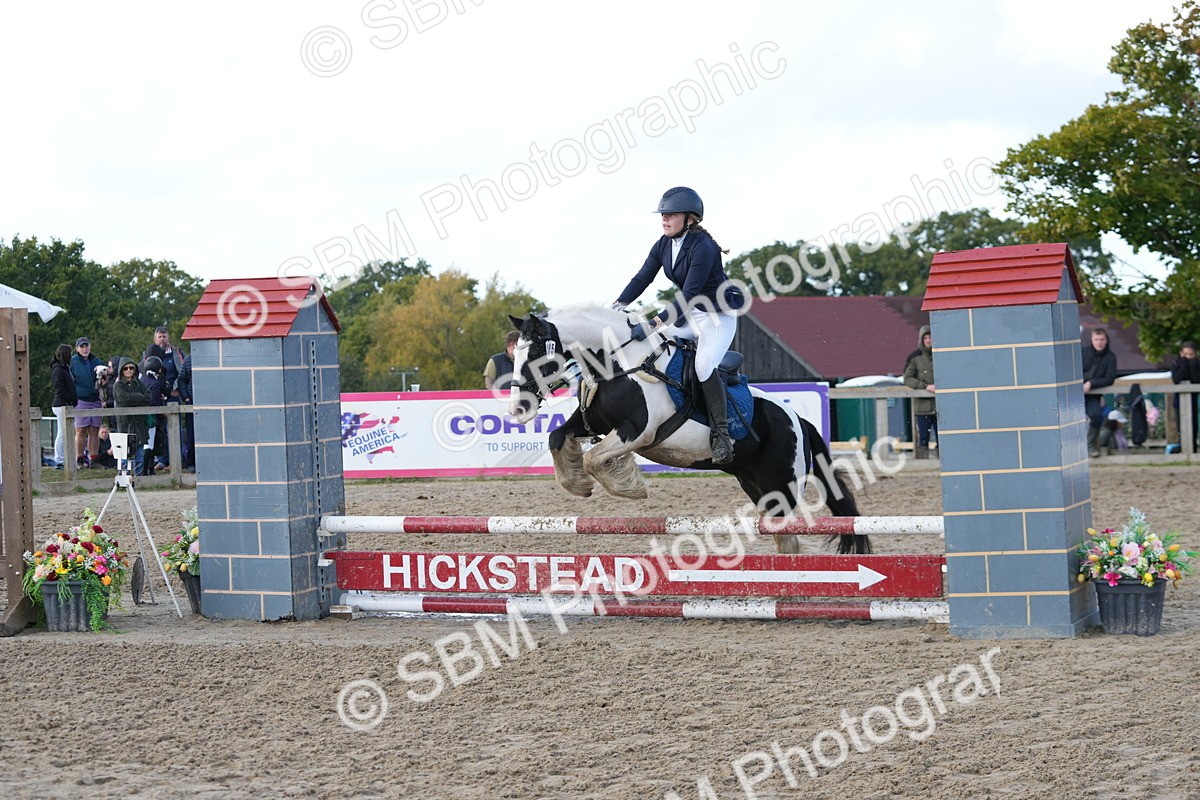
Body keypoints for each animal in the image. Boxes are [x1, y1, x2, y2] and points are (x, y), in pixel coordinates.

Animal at [506, 305, 870, 556]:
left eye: (536, 354)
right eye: (514, 356)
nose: (518, 410)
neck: (617, 363)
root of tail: (797, 420)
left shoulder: (637, 431)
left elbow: (594, 458)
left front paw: (629, 486)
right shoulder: (593, 423)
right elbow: (557, 438)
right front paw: (578, 485)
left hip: (781, 485)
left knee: (788, 536)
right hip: (754, 483)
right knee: (785, 538)